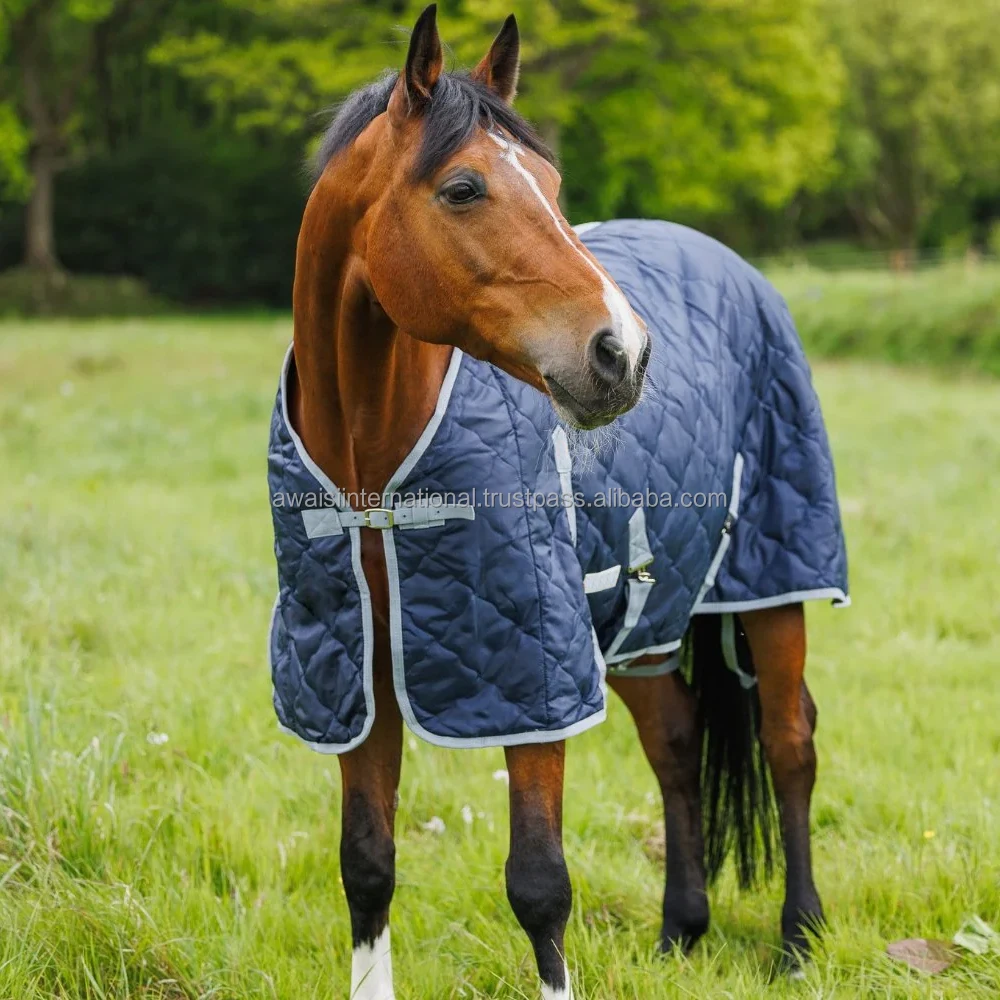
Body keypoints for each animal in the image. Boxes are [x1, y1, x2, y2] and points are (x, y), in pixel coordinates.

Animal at [269, 6, 848, 997]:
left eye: (550, 184)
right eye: (464, 188)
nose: (625, 352)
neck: (372, 483)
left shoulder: (535, 678)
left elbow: (539, 883)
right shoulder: (357, 673)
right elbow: (366, 864)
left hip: (774, 581)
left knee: (788, 742)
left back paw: (800, 938)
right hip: (645, 618)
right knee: (676, 745)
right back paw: (681, 930)